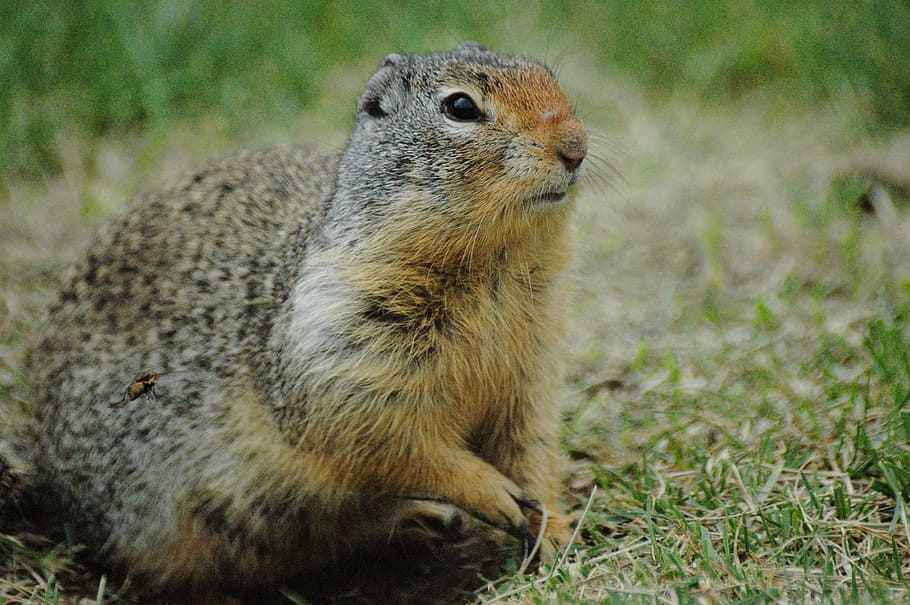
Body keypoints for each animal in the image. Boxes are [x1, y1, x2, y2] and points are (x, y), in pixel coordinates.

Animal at [7, 42, 587, 598]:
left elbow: (530, 446)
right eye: (461, 107)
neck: (495, 267)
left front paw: (556, 532)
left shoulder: (531, 369)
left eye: (546, 75)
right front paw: (498, 496)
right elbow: (388, 441)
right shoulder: (340, 347)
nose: (576, 148)